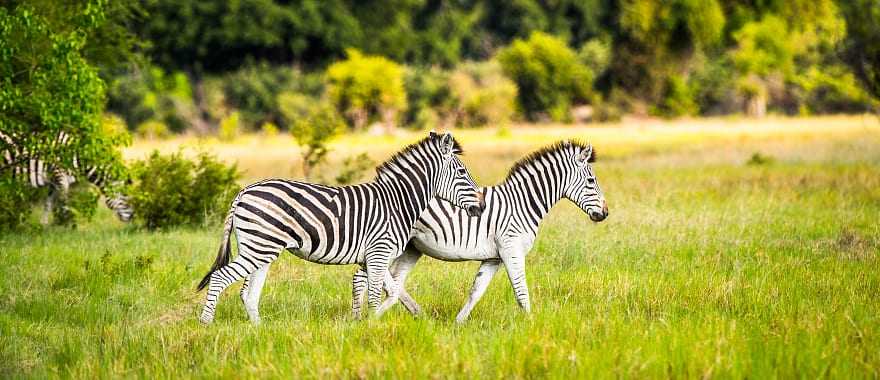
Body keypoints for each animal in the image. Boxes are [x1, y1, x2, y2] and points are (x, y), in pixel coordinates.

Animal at [0, 131, 134, 224]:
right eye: (125, 196)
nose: (133, 216)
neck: (79, 158)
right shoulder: (60, 175)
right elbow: (63, 203)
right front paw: (66, 225)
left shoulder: (53, 181)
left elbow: (48, 204)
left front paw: (42, 226)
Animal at [196, 132, 484, 326]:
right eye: (461, 172)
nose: (481, 207)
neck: (397, 202)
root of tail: (243, 191)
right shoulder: (379, 252)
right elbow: (376, 295)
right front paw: (374, 329)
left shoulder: (373, 257)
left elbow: (385, 291)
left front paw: (365, 324)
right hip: (259, 246)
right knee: (221, 277)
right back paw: (206, 324)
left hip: (260, 248)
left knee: (248, 292)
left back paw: (259, 332)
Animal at [350, 141, 604, 322]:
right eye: (591, 181)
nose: (605, 213)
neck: (522, 203)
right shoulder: (511, 248)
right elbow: (521, 290)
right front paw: (531, 327)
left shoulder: (494, 258)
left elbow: (477, 291)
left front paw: (458, 323)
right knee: (365, 278)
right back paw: (362, 319)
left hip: (411, 247)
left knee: (392, 279)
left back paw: (417, 315)